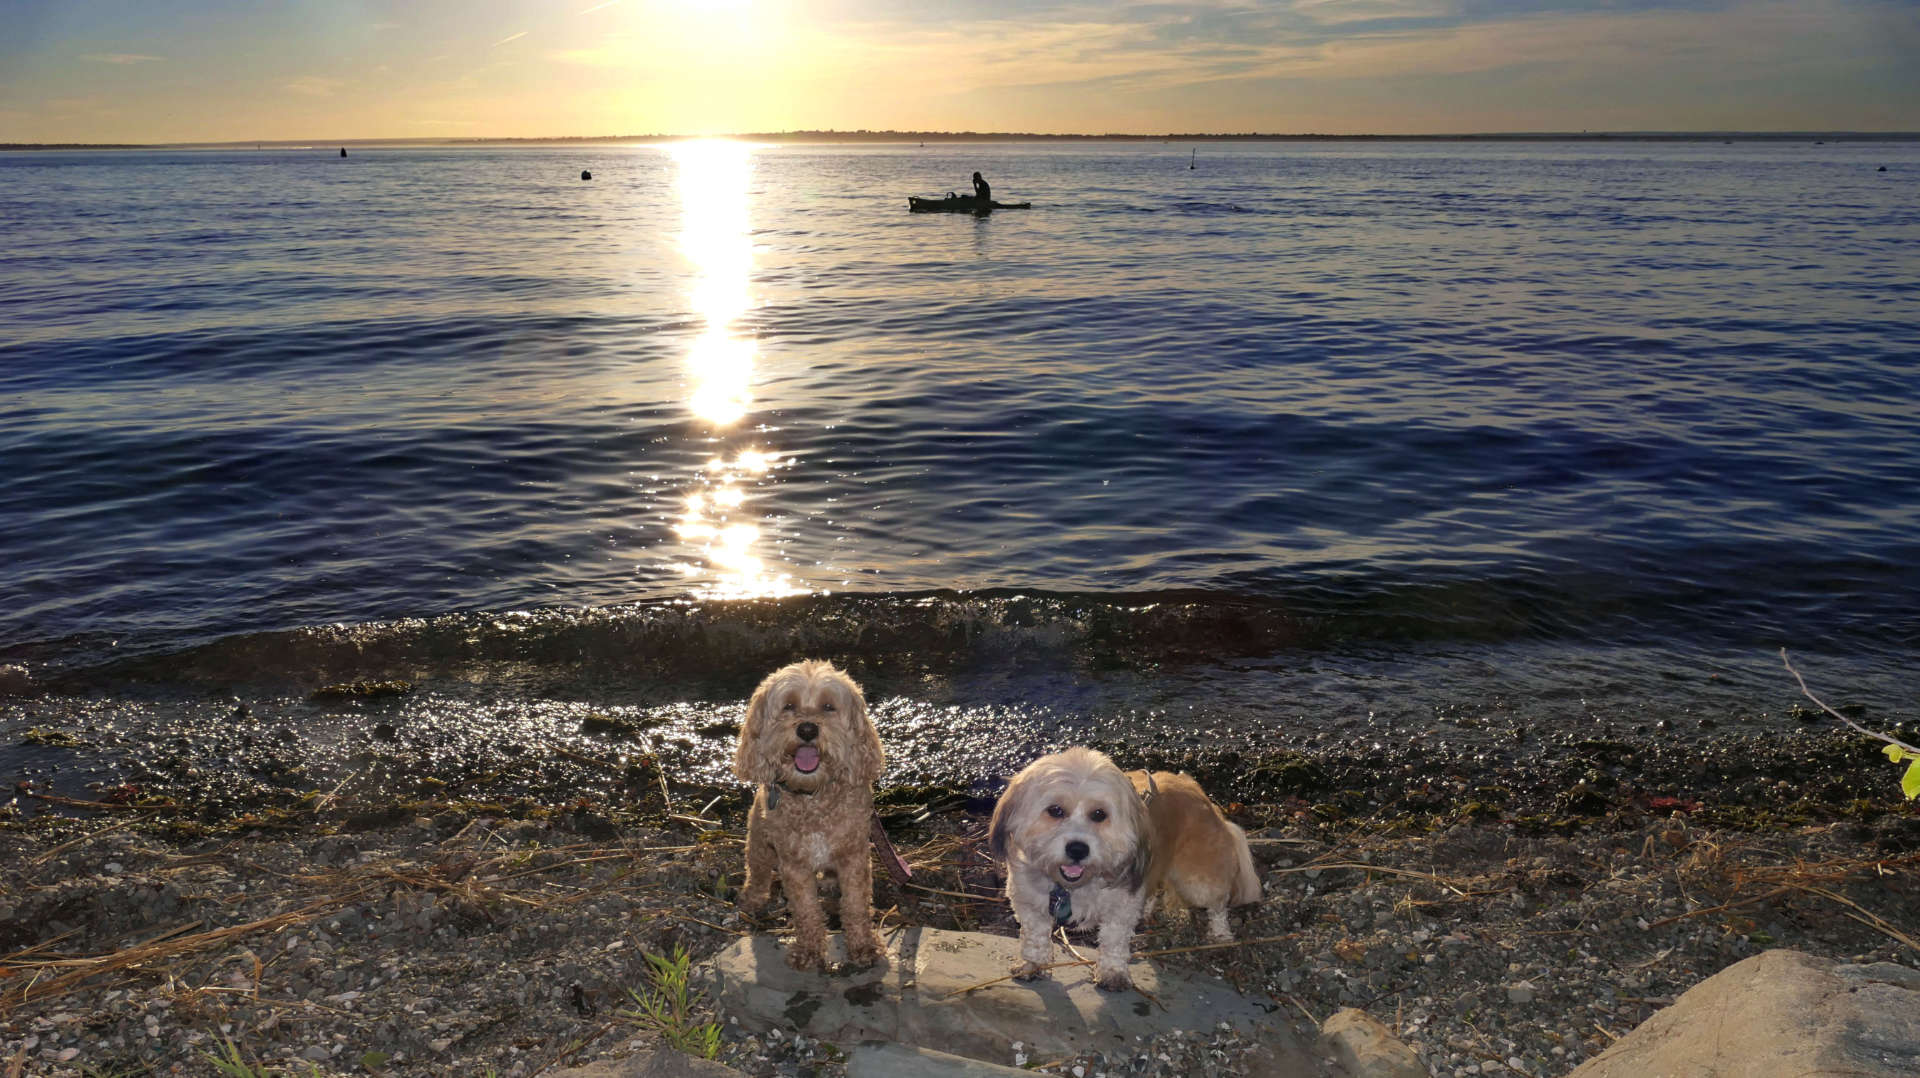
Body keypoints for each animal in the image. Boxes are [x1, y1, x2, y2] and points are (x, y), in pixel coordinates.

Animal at [729, 661, 887, 972]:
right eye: (789, 706)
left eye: (828, 706)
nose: (807, 729)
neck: (813, 796)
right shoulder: (794, 864)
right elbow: (805, 910)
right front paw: (809, 950)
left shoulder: (854, 856)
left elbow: (855, 905)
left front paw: (863, 946)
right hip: (759, 841)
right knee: (757, 872)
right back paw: (753, 898)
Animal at [990, 745, 1152, 991]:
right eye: (1055, 810)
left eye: (1099, 814)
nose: (1077, 849)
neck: (1071, 888)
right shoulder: (1027, 899)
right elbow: (1035, 934)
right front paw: (1033, 964)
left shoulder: (1123, 905)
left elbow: (1114, 939)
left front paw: (1112, 972)